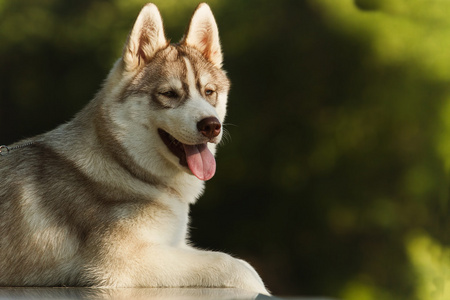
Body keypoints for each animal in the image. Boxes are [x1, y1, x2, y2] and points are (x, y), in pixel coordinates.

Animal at [0, 3, 268, 294]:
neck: (123, 165)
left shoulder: (172, 247)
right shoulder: (121, 262)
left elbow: (242, 266)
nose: (212, 126)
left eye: (209, 92)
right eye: (169, 94)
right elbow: (239, 267)